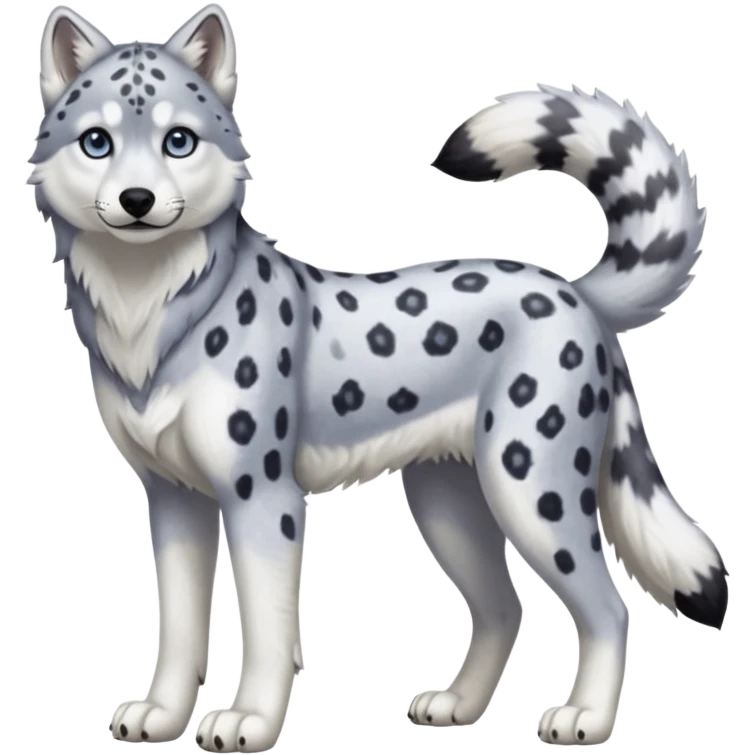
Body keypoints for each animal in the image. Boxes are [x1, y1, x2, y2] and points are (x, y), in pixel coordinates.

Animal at [30, 3, 725, 751]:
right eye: (96, 142)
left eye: (178, 141)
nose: (137, 198)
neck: (148, 311)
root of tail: (573, 291)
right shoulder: (173, 495)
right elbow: (179, 625)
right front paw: (160, 715)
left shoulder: (261, 495)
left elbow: (269, 625)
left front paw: (250, 719)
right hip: (449, 502)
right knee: (504, 606)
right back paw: (457, 706)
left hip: (531, 489)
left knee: (608, 605)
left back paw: (586, 718)